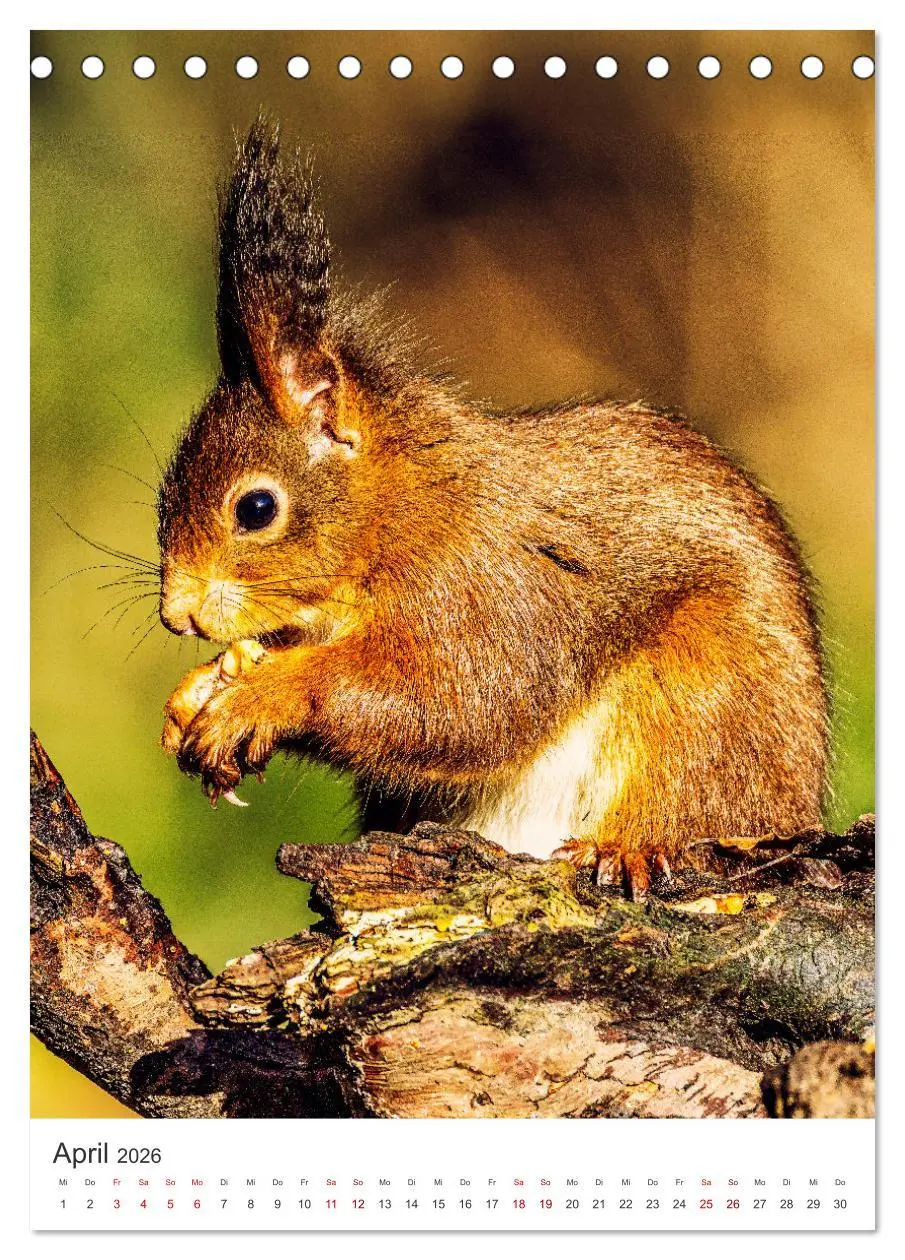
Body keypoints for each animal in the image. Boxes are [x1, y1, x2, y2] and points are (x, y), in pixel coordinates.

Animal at [157, 118, 829, 899]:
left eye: (257, 508)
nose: (177, 614)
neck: (405, 510)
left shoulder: (485, 591)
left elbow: (457, 703)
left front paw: (259, 697)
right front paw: (199, 689)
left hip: (711, 705)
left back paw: (629, 845)